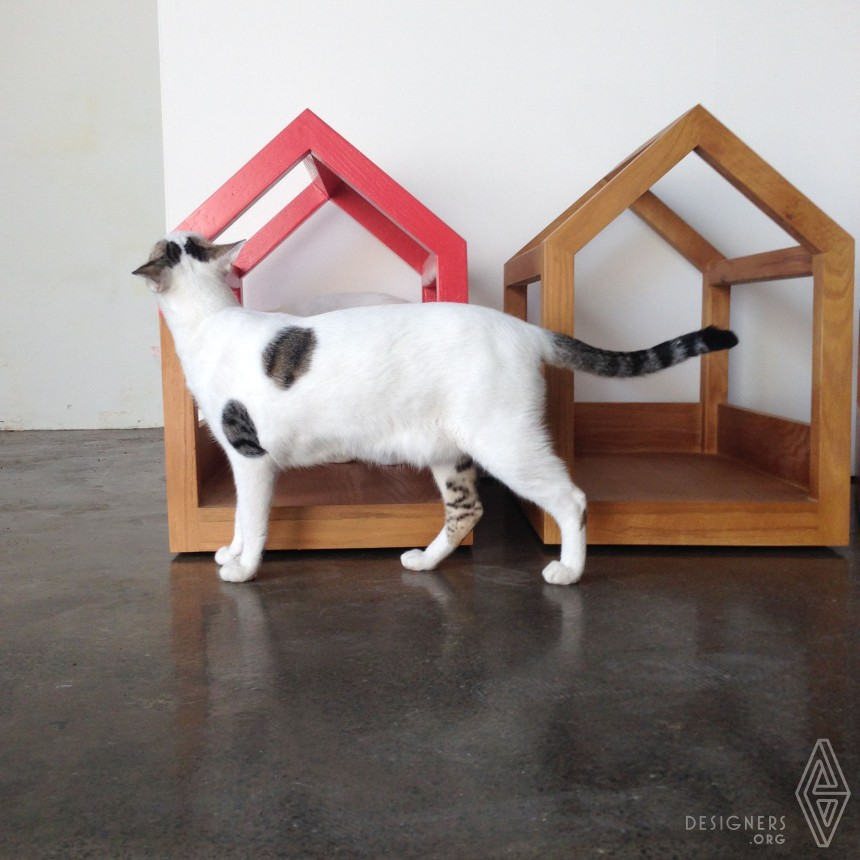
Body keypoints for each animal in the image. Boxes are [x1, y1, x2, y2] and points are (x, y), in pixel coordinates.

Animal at [133, 233, 738, 585]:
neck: (211, 320)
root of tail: (527, 329)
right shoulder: (241, 461)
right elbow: (237, 517)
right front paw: (229, 552)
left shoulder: (251, 454)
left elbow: (253, 519)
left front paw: (244, 567)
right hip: (451, 454)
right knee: (467, 511)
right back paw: (424, 560)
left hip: (507, 444)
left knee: (571, 498)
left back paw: (568, 569)